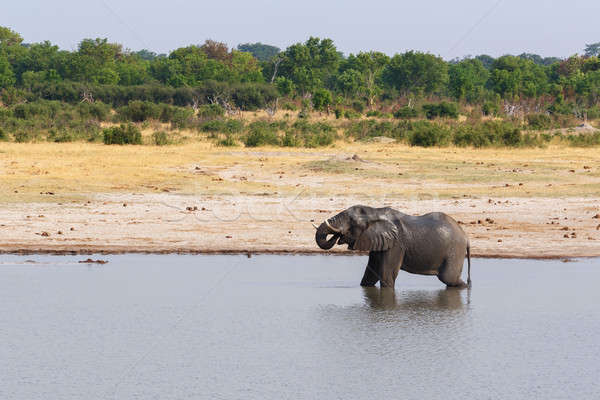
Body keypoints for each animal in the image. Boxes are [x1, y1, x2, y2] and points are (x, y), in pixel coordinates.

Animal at [316, 206, 472, 288]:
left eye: (351, 221)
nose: (339, 235)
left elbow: (387, 275)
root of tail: (466, 237)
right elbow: (370, 274)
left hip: (454, 250)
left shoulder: (396, 244)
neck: (374, 212)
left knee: (448, 278)